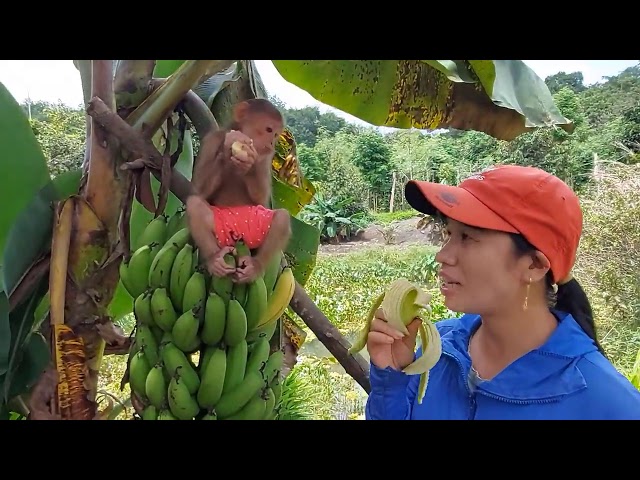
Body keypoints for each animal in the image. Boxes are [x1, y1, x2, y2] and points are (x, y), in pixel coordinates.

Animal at [186, 99, 292, 284]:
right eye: (269, 130)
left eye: (276, 135)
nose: (272, 143)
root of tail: (240, 237)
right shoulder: (211, 140)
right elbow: (198, 191)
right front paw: (227, 147)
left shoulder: (267, 158)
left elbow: (261, 200)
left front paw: (250, 164)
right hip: (222, 230)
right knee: (194, 206)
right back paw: (215, 260)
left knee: (282, 218)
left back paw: (255, 267)